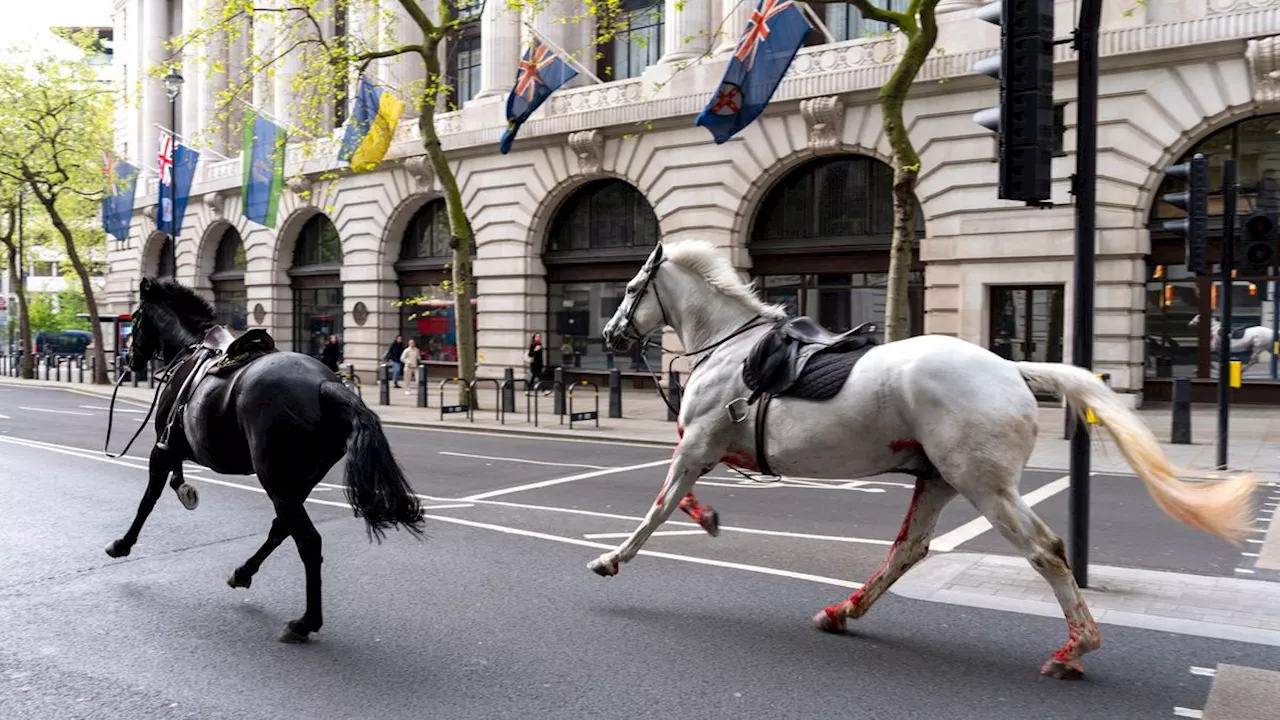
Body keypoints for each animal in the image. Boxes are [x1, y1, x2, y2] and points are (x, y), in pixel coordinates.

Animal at [106, 278, 424, 640]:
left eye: (136, 317)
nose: (129, 358)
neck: (190, 349)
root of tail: (326, 385)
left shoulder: (163, 448)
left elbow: (147, 500)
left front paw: (123, 543)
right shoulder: (175, 448)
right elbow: (174, 480)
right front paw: (185, 490)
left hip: (277, 481)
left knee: (307, 542)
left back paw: (305, 621)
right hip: (296, 483)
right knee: (281, 528)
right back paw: (244, 573)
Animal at [593, 239, 1254, 676]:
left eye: (629, 288)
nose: (609, 334)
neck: (731, 348)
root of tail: (1013, 369)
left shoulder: (698, 443)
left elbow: (659, 505)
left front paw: (612, 559)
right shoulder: (705, 447)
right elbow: (680, 499)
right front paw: (706, 518)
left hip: (983, 484)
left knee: (1045, 550)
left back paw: (1076, 648)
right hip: (938, 478)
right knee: (909, 549)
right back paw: (843, 610)